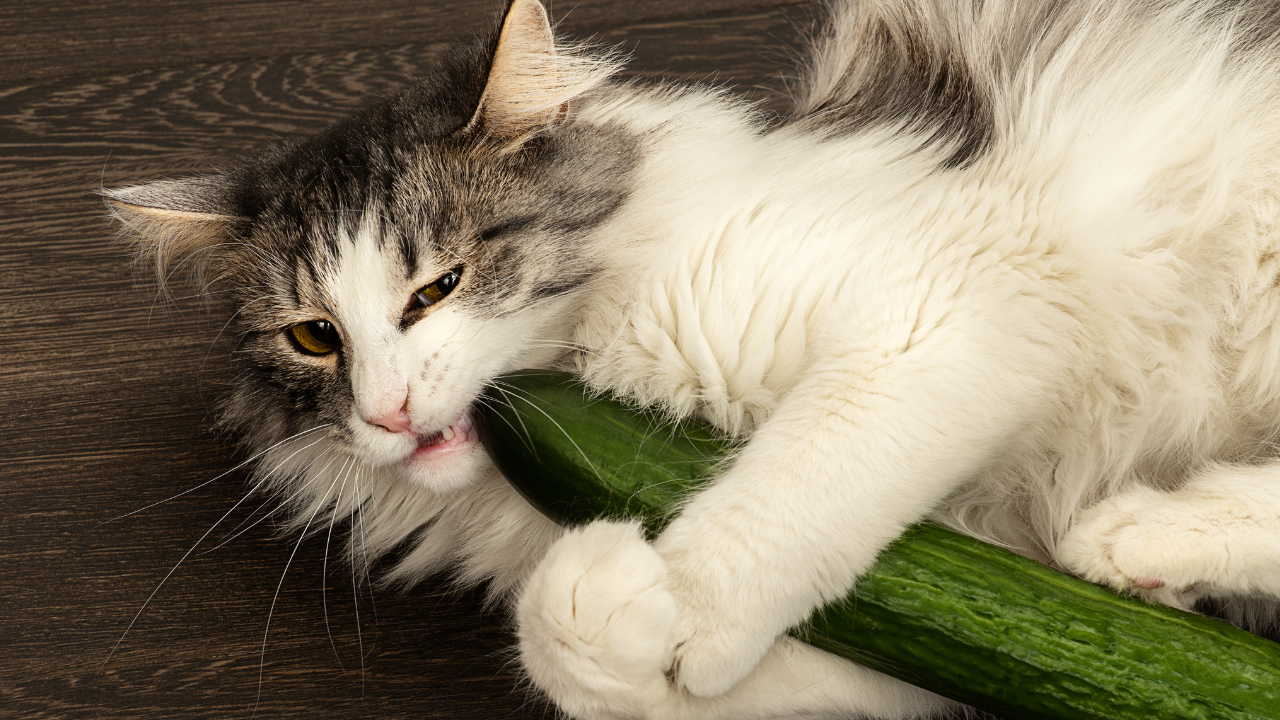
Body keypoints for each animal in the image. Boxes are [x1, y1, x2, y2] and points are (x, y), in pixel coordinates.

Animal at [102, 0, 1280, 712]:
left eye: (437, 287)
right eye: (315, 339)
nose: (386, 413)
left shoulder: (952, 300)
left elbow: (792, 486)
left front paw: (690, 602)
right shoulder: (949, 611)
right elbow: (592, 664)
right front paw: (609, 601)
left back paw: (1138, 531)